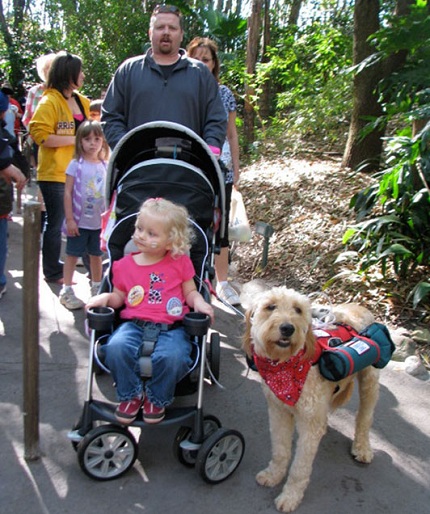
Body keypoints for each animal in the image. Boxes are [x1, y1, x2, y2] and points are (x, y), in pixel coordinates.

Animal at [242, 286, 380, 510]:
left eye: (298, 309)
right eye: (270, 306)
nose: (287, 328)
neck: (286, 367)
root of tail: (359, 306)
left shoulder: (309, 425)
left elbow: (299, 468)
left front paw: (290, 496)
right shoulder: (278, 412)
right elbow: (280, 451)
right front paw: (274, 475)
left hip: (370, 380)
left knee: (365, 417)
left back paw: (362, 447)